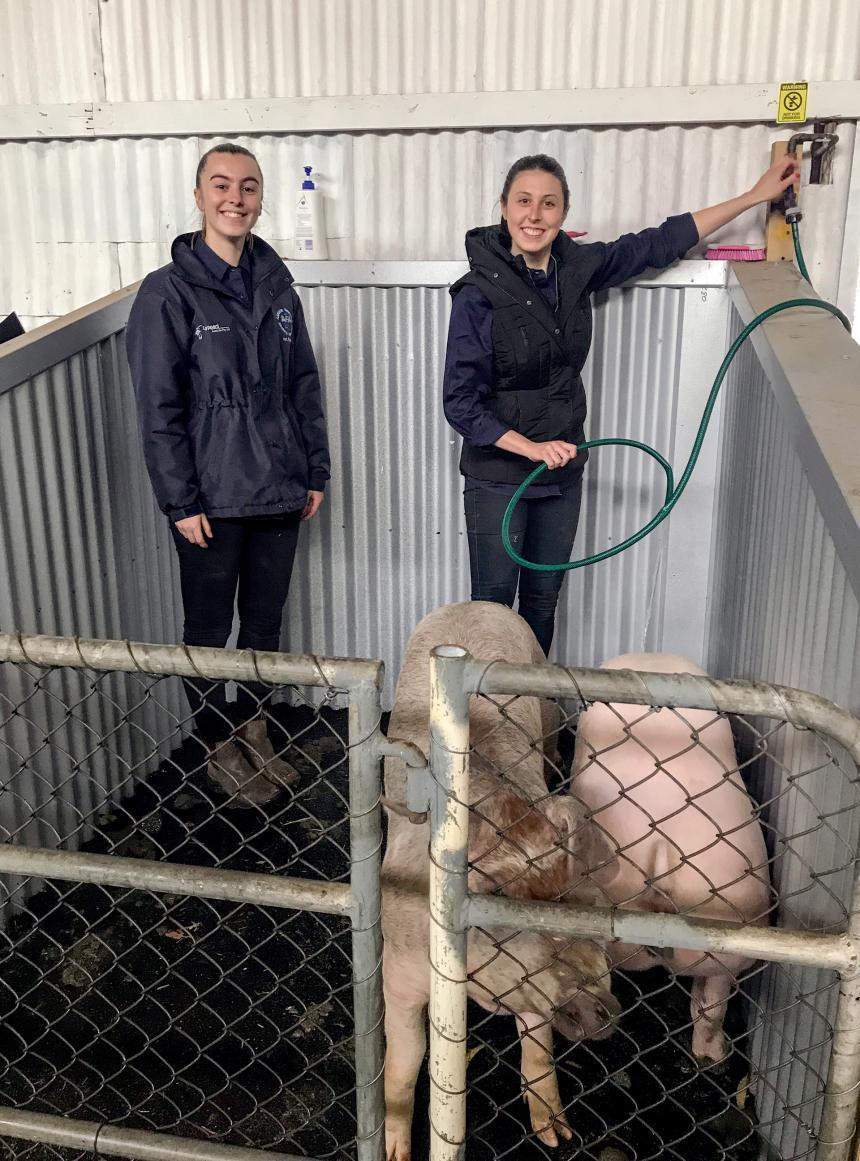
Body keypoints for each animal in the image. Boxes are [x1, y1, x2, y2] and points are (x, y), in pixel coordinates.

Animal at [382, 603, 617, 1156]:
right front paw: (394, 1152)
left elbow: (539, 1047)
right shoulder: (398, 965)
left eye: (597, 932)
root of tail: (476, 603)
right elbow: (404, 1060)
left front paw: (557, 1137)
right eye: (535, 938)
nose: (610, 1011)